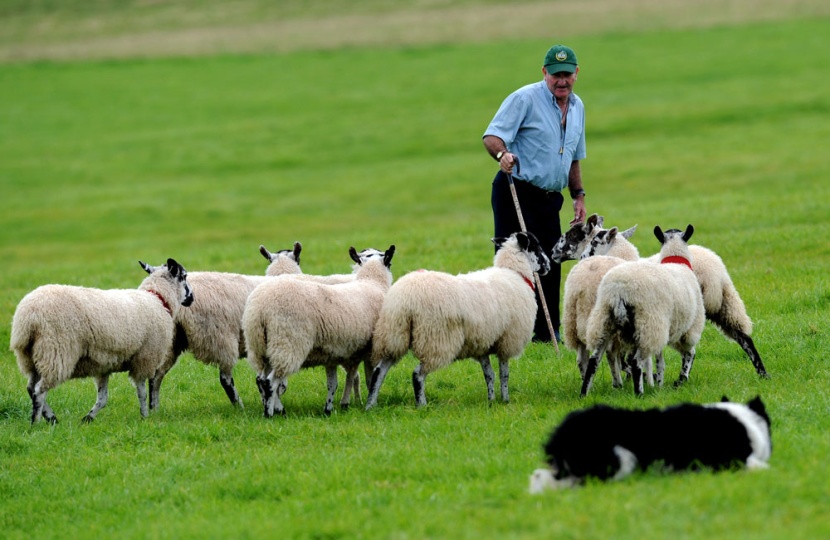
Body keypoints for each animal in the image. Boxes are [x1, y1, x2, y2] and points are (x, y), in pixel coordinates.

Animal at [11, 260, 195, 424]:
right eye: (184, 276)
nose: (192, 298)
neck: (157, 298)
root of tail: (29, 316)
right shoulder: (144, 359)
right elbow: (142, 392)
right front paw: (144, 416)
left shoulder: (103, 366)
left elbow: (103, 398)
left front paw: (88, 418)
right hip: (55, 352)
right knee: (39, 391)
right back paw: (37, 422)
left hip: (31, 356)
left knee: (31, 388)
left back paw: (51, 418)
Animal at [244, 245, 396, 418]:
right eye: (390, 263)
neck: (372, 282)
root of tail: (260, 309)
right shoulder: (367, 351)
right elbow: (368, 378)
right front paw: (360, 402)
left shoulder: (335, 354)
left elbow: (334, 383)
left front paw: (330, 409)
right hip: (287, 344)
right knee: (270, 382)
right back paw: (271, 413)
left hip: (261, 348)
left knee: (261, 380)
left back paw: (274, 408)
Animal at [366, 232, 552, 410]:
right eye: (536, 246)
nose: (549, 265)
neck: (515, 274)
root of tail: (404, 299)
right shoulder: (507, 340)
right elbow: (504, 374)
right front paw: (505, 400)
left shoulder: (482, 342)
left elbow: (489, 374)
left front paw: (491, 401)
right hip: (436, 339)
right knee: (417, 374)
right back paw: (422, 405)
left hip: (394, 335)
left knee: (379, 370)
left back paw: (371, 405)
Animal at [580, 225, 704, 396]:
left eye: (594, 242)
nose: (582, 256)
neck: (677, 263)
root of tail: (619, 291)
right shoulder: (687, 328)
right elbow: (688, 354)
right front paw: (679, 380)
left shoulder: (661, 330)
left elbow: (659, 359)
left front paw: (658, 383)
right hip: (647, 323)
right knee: (636, 361)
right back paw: (639, 393)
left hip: (604, 321)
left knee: (594, 359)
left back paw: (584, 393)